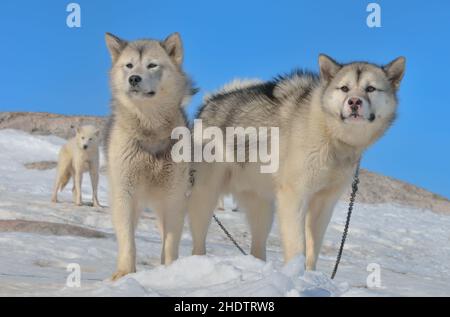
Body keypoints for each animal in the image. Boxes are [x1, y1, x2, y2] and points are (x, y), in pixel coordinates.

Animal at [188, 55, 406, 270]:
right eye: (344, 88)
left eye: (370, 89)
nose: (354, 102)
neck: (330, 134)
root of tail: (208, 105)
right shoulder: (295, 196)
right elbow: (297, 246)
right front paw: (297, 274)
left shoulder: (324, 202)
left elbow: (313, 249)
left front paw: (310, 276)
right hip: (205, 198)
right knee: (197, 242)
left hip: (263, 210)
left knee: (257, 247)